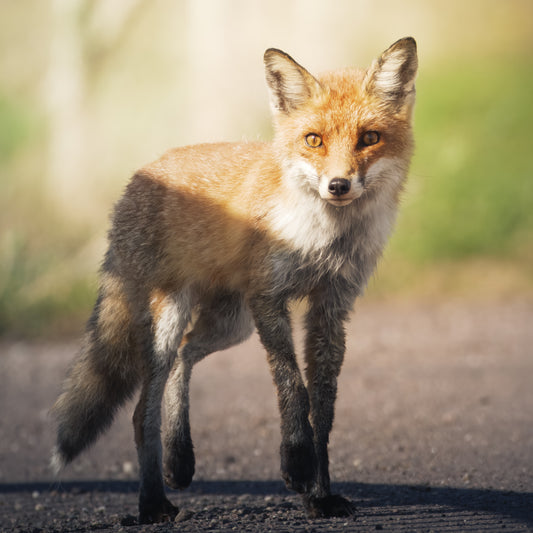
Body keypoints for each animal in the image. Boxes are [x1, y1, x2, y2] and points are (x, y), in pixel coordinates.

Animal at [51, 38, 416, 524]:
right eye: (314, 140)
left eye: (370, 138)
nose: (338, 185)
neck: (322, 240)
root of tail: (144, 171)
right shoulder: (269, 297)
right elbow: (292, 387)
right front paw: (297, 464)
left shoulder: (331, 307)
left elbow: (323, 408)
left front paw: (319, 495)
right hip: (172, 319)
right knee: (142, 411)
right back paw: (153, 502)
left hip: (231, 323)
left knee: (185, 357)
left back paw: (180, 458)